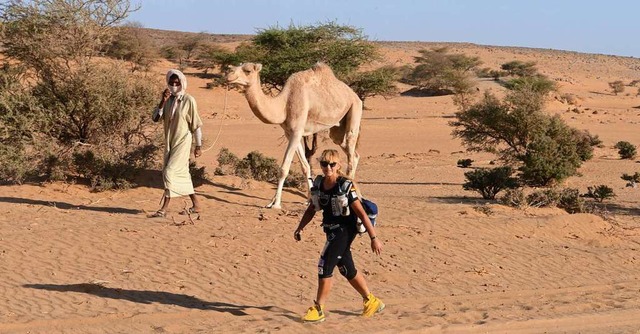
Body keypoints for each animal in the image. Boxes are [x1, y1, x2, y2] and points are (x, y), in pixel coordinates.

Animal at [228, 62, 362, 209]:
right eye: (233, 67)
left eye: (247, 70)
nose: (229, 74)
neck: (284, 104)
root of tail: (356, 96)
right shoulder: (290, 133)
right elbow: (305, 166)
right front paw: (307, 200)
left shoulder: (297, 131)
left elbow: (284, 169)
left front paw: (276, 204)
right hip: (337, 131)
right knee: (353, 153)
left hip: (355, 110)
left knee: (351, 152)